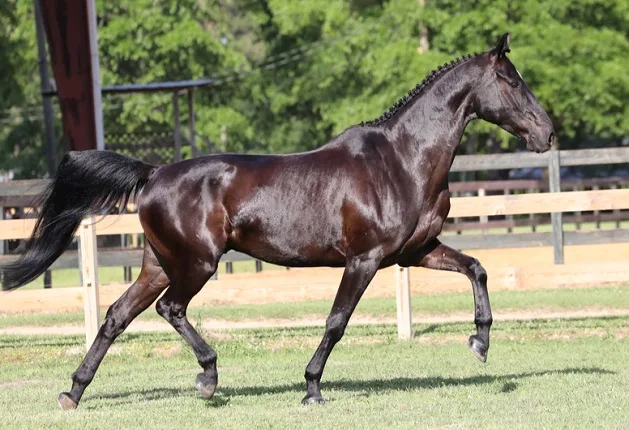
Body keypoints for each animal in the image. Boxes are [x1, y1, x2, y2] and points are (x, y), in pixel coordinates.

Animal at [3, 32, 556, 406]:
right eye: (509, 80)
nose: (547, 133)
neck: (401, 161)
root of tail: (154, 172)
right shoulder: (365, 260)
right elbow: (336, 321)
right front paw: (311, 388)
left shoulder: (414, 253)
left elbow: (477, 268)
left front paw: (479, 342)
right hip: (196, 265)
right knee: (170, 310)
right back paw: (207, 377)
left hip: (159, 264)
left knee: (117, 316)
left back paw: (74, 393)